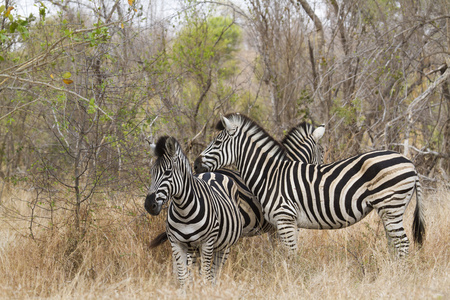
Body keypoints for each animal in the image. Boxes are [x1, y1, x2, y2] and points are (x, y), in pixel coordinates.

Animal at [145, 136, 243, 286]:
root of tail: (212, 172)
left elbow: (206, 276)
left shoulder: (207, 243)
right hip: (194, 249)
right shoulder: (176, 243)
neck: (184, 212)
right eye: (151, 172)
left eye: (167, 172)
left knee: (214, 273)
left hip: (224, 246)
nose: (149, 205)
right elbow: (183, 276)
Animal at [194, 112, 426, 258]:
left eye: (217, 142)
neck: (270, 175)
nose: (195, 164)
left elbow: (290, 256)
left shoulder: (285, 219)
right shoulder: (284, 223)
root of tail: (410, 163)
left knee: (402, 243)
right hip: (389, 209)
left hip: (391, 206)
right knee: (395, 243)